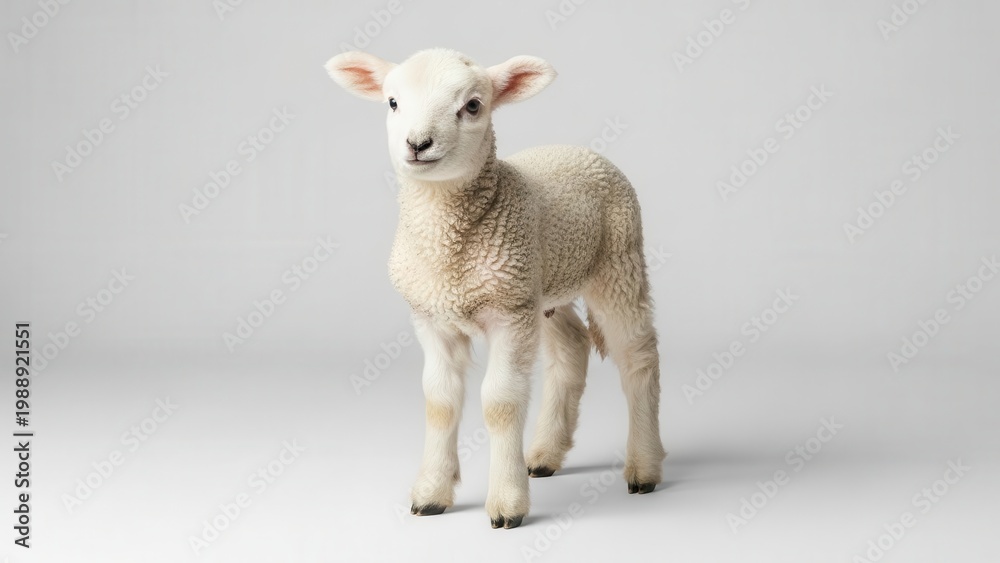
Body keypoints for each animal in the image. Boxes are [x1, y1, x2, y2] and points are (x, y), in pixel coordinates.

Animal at [325, 48, 666, 529]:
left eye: (472, 106)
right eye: (392, 102)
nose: (418, 144)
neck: (448, 250)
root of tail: (578, 149)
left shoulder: (508, 314)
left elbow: (500, 403)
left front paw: (506, 502)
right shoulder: (434, 317)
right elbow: (440, 401)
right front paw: (431, 492)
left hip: (617, 264)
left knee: (639, 356)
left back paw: (644, 467)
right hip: (542, 288)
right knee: (572, 349)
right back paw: (544, 455)